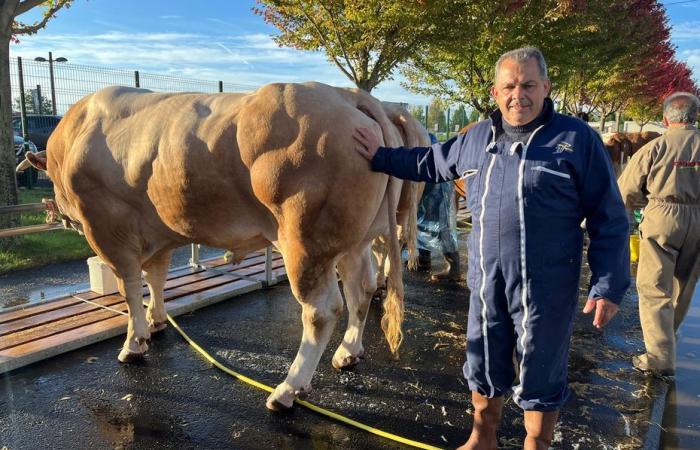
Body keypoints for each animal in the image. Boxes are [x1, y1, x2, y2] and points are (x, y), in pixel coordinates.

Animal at [21, 83, 430, 412]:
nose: (54, 212)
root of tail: (348, 95)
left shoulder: (107, 228)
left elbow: (130, 288)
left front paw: (134, 342)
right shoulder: (158, 231)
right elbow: (156, 277)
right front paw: (156, 320)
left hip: (307, 243)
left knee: (322, 310)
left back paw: (288, 389)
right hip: (354, 241)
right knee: (362, 291)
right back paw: (347, 353)